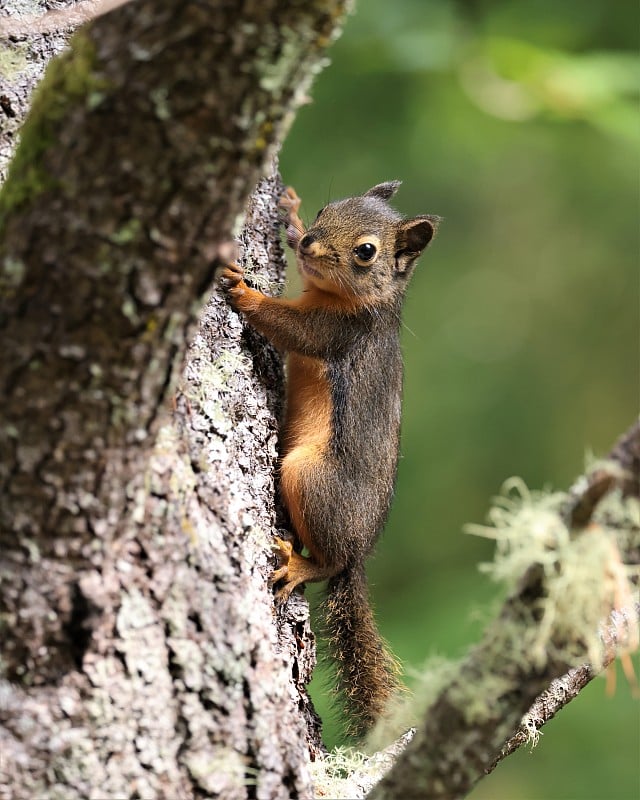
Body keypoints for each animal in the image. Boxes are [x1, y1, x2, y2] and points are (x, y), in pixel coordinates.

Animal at [220, 180, 440, 736]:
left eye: (366, 252)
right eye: (326, 208)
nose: (309, 243)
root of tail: (360, 551)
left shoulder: (338, 332)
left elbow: (290, 328)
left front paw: (243, 291)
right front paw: (290, 215)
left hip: (310, 480)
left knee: (327, 561)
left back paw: (302, 565)